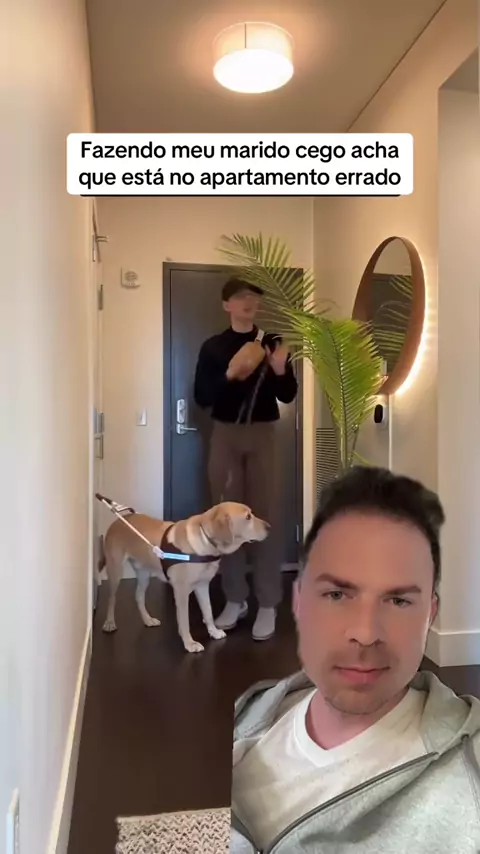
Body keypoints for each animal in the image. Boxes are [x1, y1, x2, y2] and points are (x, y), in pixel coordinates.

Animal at [99, 501, 270, 653]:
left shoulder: (202, 586)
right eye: (248, 517)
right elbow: (184, 620)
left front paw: (213, 631)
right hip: (115, 570)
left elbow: (208, 612)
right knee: (111, 598)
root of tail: (120, 519)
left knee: (139, 597)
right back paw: (109, 623)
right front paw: (190, 643)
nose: (269, 527)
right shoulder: (181, 591)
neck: (206, 541)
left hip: (144, 574)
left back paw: (147, 619)